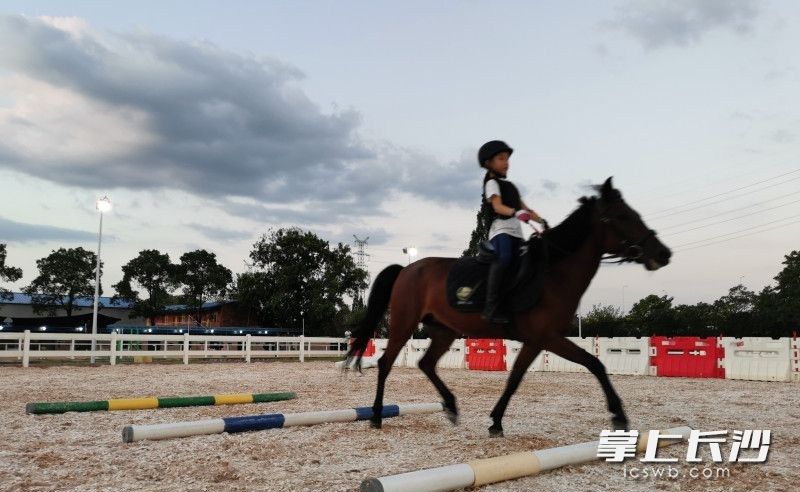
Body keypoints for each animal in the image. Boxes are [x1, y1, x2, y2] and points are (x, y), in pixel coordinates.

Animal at [346, 177, 672, 434]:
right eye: (624, 216)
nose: (663, 254)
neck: (552, 273)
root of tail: (406, 269)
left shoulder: (541, 339)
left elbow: (528, 375)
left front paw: (496, 420)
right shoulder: (545, 337)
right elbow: (582, 366)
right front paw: (619, 415)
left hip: (443, 330)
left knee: (426, 363)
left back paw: (450, 406)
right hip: (404, 323)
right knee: (386, 363)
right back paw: (376, 416)